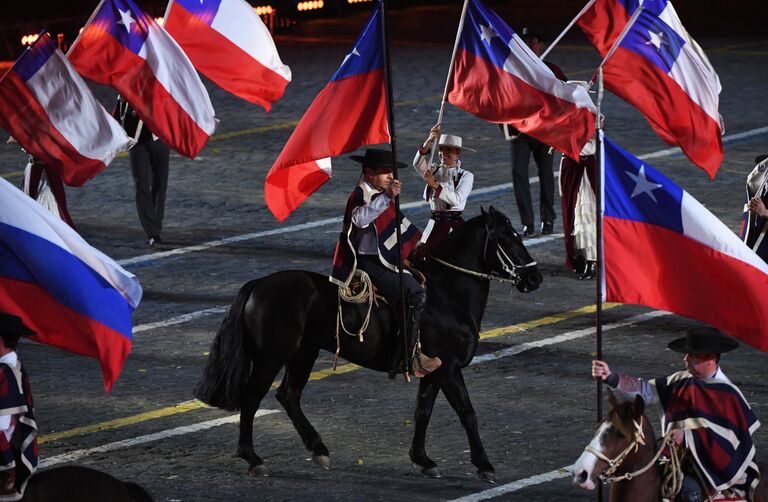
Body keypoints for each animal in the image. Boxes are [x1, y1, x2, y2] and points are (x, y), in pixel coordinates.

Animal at [195, 206, 544, 480]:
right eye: (509, 239)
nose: (535, 278)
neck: (447, 298)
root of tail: (258, 285)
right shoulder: (449, 368)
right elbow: (467, 412)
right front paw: (484, 465)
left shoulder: (433, 372)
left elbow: (423, 411)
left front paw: (423, 460)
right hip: (272, 357)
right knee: (252, 398)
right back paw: (253, 458)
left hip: (303, 353)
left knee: (288, 396)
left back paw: (319, 449)